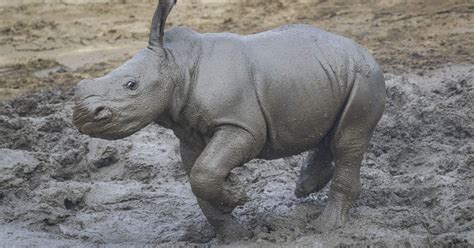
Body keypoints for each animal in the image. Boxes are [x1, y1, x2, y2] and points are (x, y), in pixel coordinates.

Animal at [73, 0, 386, 240]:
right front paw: (235, 233)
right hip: (325, 72)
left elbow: (204, 172)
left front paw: (237, 193)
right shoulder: (189, 134)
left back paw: (326, 227)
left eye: (131, 85)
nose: (84, 115)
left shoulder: (241, 126)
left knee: (347, 141)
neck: (177, 65)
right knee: (333, 134)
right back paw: (306, 188)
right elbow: (199, 178)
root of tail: (363, 50)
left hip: (364, 76)